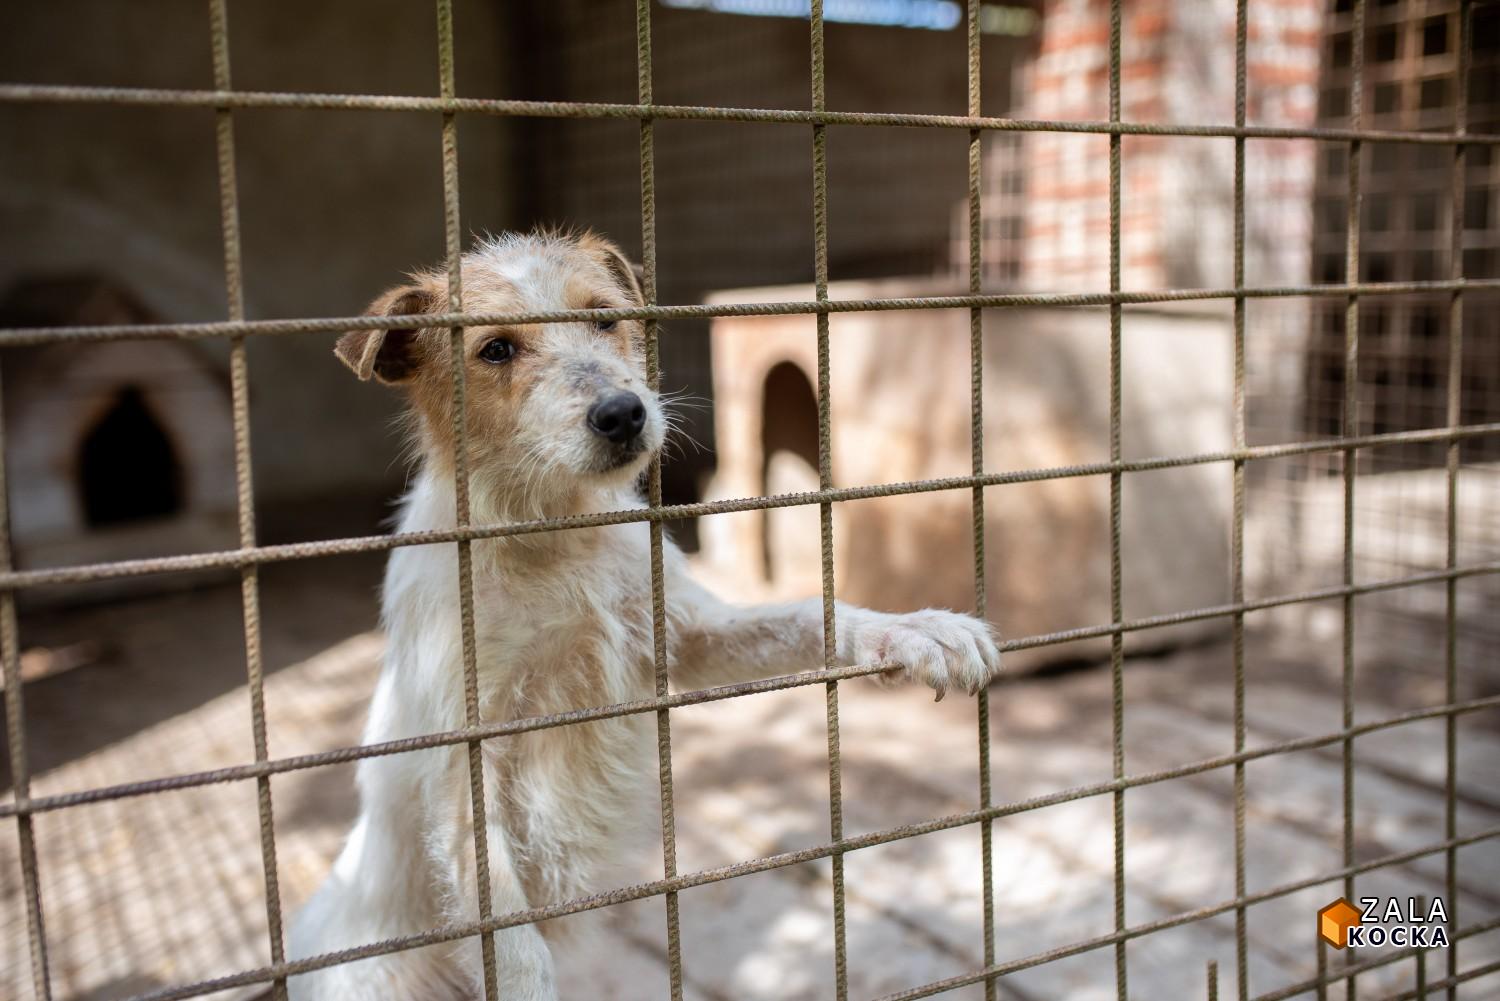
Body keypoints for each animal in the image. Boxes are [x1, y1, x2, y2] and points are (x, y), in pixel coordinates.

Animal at [286, 231, 1002, 996]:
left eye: (604, 317)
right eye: (496, 350)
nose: (623, 412)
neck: (554, 533)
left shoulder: (685, 634)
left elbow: (812, 613)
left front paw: (918, 629)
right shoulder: (463, 764)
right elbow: (512, 938)